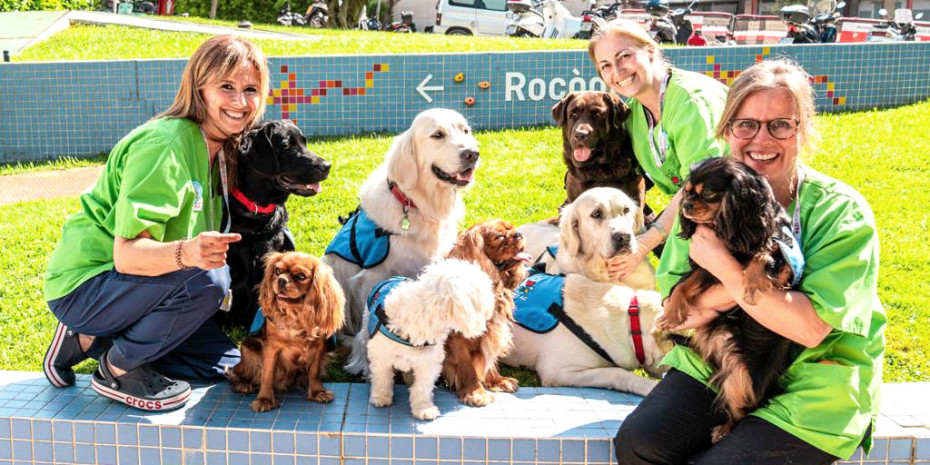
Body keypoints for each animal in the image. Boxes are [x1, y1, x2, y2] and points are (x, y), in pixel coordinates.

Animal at [344, 260, 492, 418]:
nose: (492, 303)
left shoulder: (429, 363)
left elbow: (422, 387)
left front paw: (423, 408)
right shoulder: (381, 355)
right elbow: (382, 378)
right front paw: (381, 397)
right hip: (367, 332)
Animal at [504, 188, 672, 396]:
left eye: (626, 210)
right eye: (596, 214)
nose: (624, 236)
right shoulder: (558, 370)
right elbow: (617, 373)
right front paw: (649, 386)